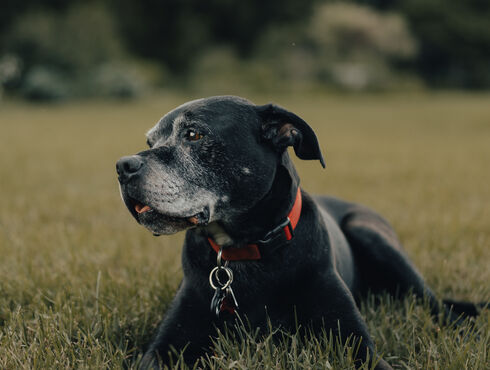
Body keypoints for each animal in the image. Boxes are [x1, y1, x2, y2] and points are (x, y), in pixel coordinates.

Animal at [117, 96, 482, 370]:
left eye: (193, 134)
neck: (245, 249)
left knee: (436, 306)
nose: (122, 166)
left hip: (370, 234)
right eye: (151, 141)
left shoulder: (356, 343)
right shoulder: (166, 347)